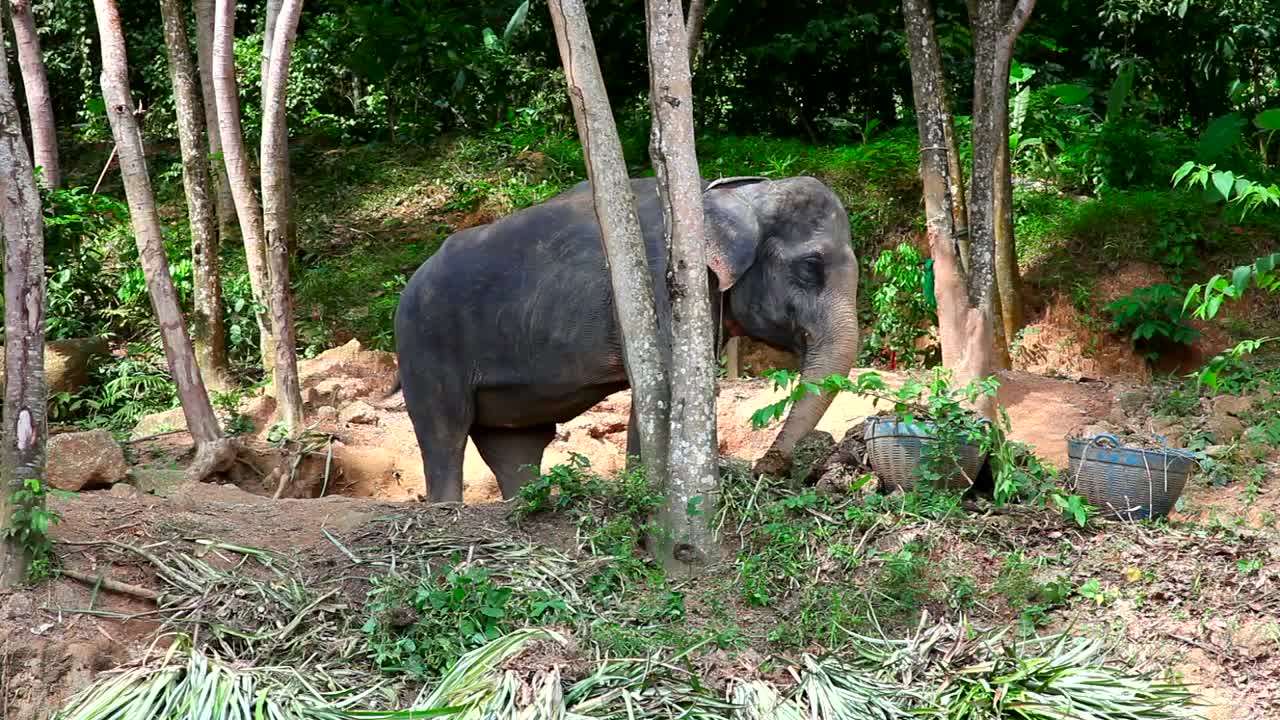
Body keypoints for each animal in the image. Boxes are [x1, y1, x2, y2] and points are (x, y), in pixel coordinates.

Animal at [393, 174, 860, 503]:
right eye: (810, 268)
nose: (766, 466)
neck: (732, 195)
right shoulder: (662, 285)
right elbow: (665, 385)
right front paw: (649, 490)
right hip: (424, 343)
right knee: (444, 431)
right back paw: (446, 509)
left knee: (515, 445)